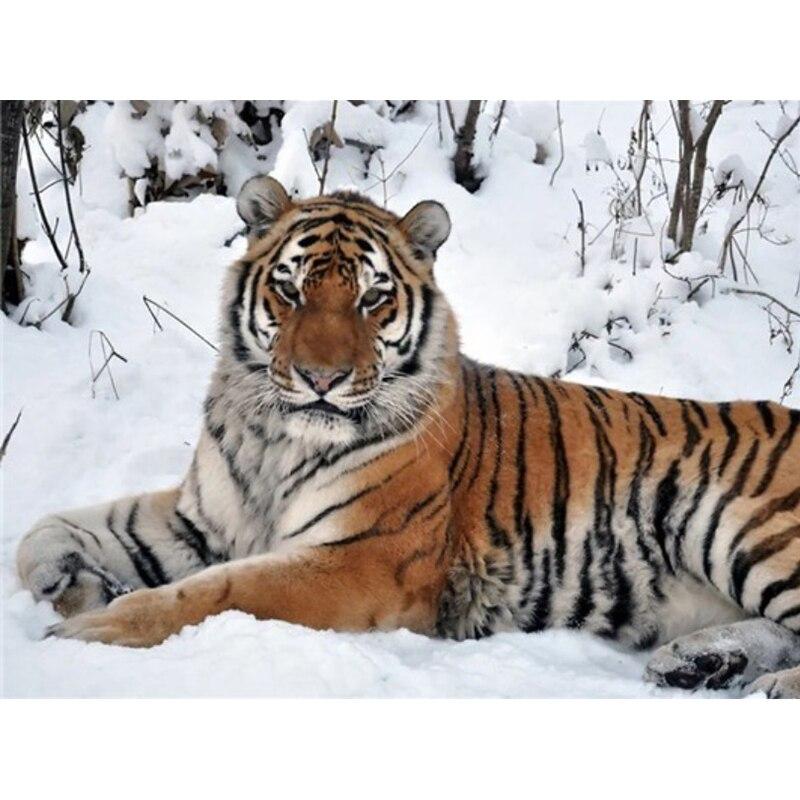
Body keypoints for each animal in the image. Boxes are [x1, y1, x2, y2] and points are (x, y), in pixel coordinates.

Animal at [16, 175, 800, 697]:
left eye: (372, 297)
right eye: (290, 290)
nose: (321, 377)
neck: (277, 440)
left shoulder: (361, 557)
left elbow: (216, 593)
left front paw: (88, 632)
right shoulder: (204, 518)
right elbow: (50, 530)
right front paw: (68, 584)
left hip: (744, 526)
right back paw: (700, 663)